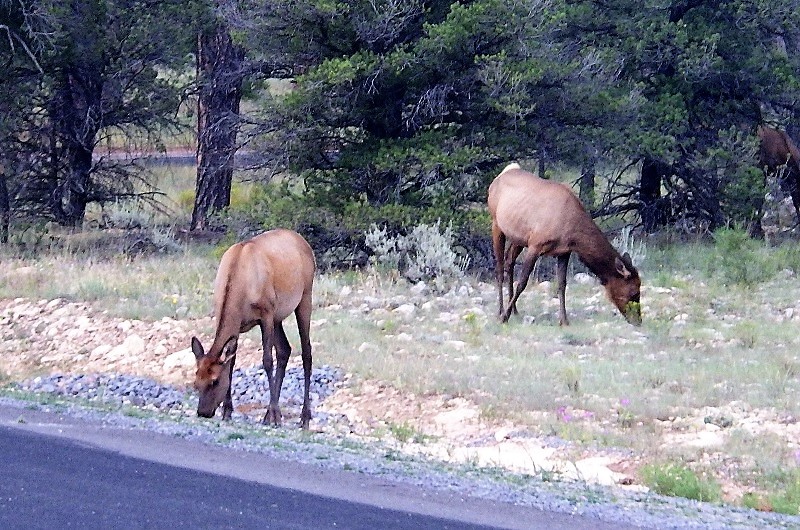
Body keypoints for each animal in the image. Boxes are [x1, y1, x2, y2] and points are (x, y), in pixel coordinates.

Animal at [192, 229, 318, 426]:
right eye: (196, 382)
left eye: (215, 381)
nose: (203, 412)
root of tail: (304, 242)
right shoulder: (239, 325)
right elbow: (232, 361)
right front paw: (227, 410)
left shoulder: (266, 314)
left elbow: (267, 361)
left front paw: (275, 415)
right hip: (278, 316)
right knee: (285, 350)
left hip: (304, 297)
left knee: (307, 353)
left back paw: (304, 417)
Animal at [484, 163, 640, 324]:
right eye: (634, 292)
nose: (638, 321)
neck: (574, 233)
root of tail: (503, 173)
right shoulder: (535, 245)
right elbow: (522, 282)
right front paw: (504, 317)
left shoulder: (564, 251)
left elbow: (562, 284)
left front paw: (564, 321)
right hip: (496, 224)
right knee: (499, 268)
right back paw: (501, 310)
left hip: (519, 237)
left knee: (509, 260)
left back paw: (515, 310)